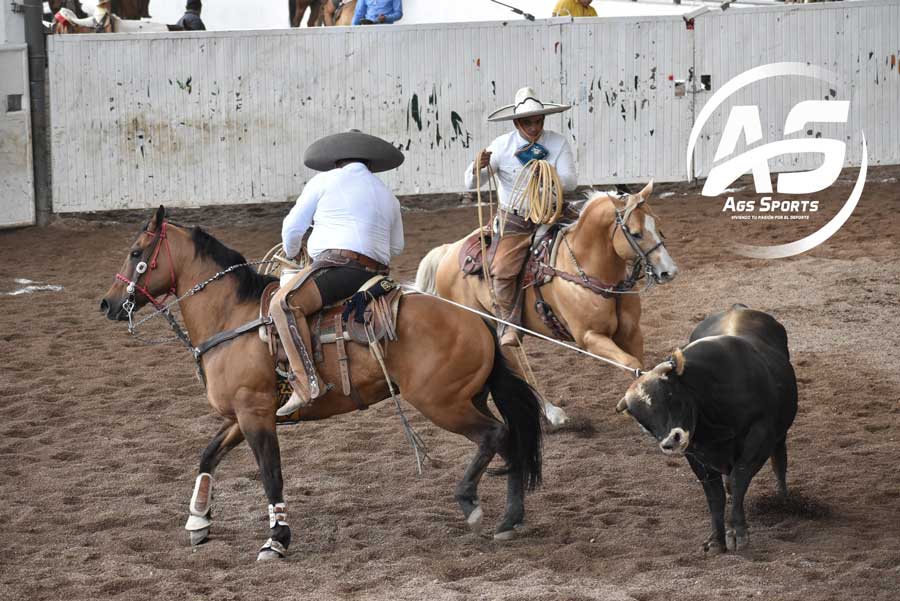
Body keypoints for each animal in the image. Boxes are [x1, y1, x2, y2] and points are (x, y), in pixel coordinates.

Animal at [102, 209, 544, 560]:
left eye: (137, 253)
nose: (108, 304)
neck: (232, 316)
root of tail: (476, 318)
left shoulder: (255, 415)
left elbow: (271, 475)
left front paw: (276, 539)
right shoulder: (243, 414)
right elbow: (208, 455)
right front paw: (198, 521)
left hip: (442, 404)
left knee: (495, 435)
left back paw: (471, 502)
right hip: (469, 397)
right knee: (509, 440)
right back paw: (510, 519)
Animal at [418, 183, 680, 426]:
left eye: (656, 225)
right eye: (635, 233)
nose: (669, 271)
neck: (587, 269)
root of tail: (448, 251)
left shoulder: (631, 332)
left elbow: (639, 366)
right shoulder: (589, 337)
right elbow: (630, 363)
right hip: (491, 326)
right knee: (517, 367)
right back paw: (553, 413)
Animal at [616, 304, 800, 552]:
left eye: (671, 395)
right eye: (643, 421)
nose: (671, 440)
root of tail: (738, 308)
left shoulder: (760, 436)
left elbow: (738, 480)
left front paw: (737, 532)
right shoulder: (696, 454)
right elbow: (715, 496)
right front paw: (716, 539)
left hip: (779, 434)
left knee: (779, 461)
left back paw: (783, 500)